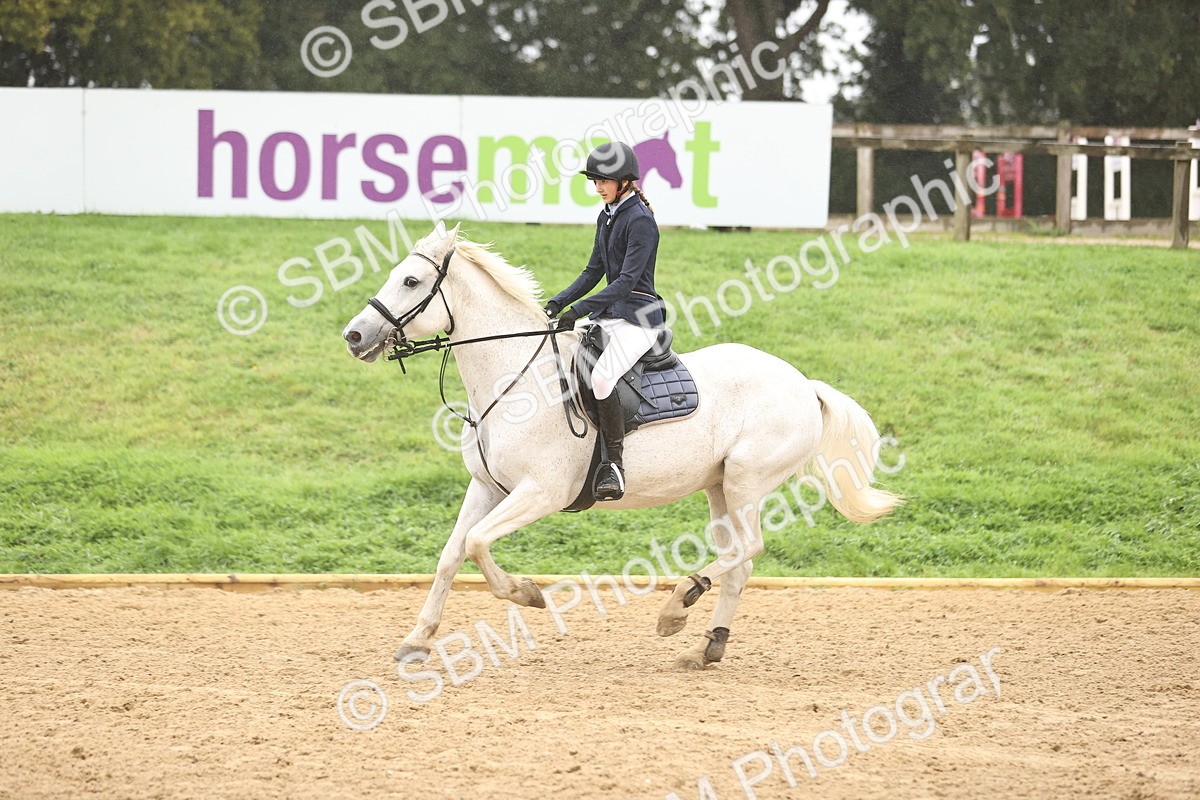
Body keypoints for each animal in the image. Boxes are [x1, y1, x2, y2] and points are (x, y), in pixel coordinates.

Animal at [342, 222, 903, 670]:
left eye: (411, 281)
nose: (354, 336)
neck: (514, 380)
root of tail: (805, 384)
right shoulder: (486, 486)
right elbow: (451, 554)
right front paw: (417, 639)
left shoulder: (541, 492)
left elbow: (478, 544)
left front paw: (528, 594)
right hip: (720, 487)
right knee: (739, 561)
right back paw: (706, 645)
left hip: (748, 481)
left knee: (748, 549)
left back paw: (677, 606)